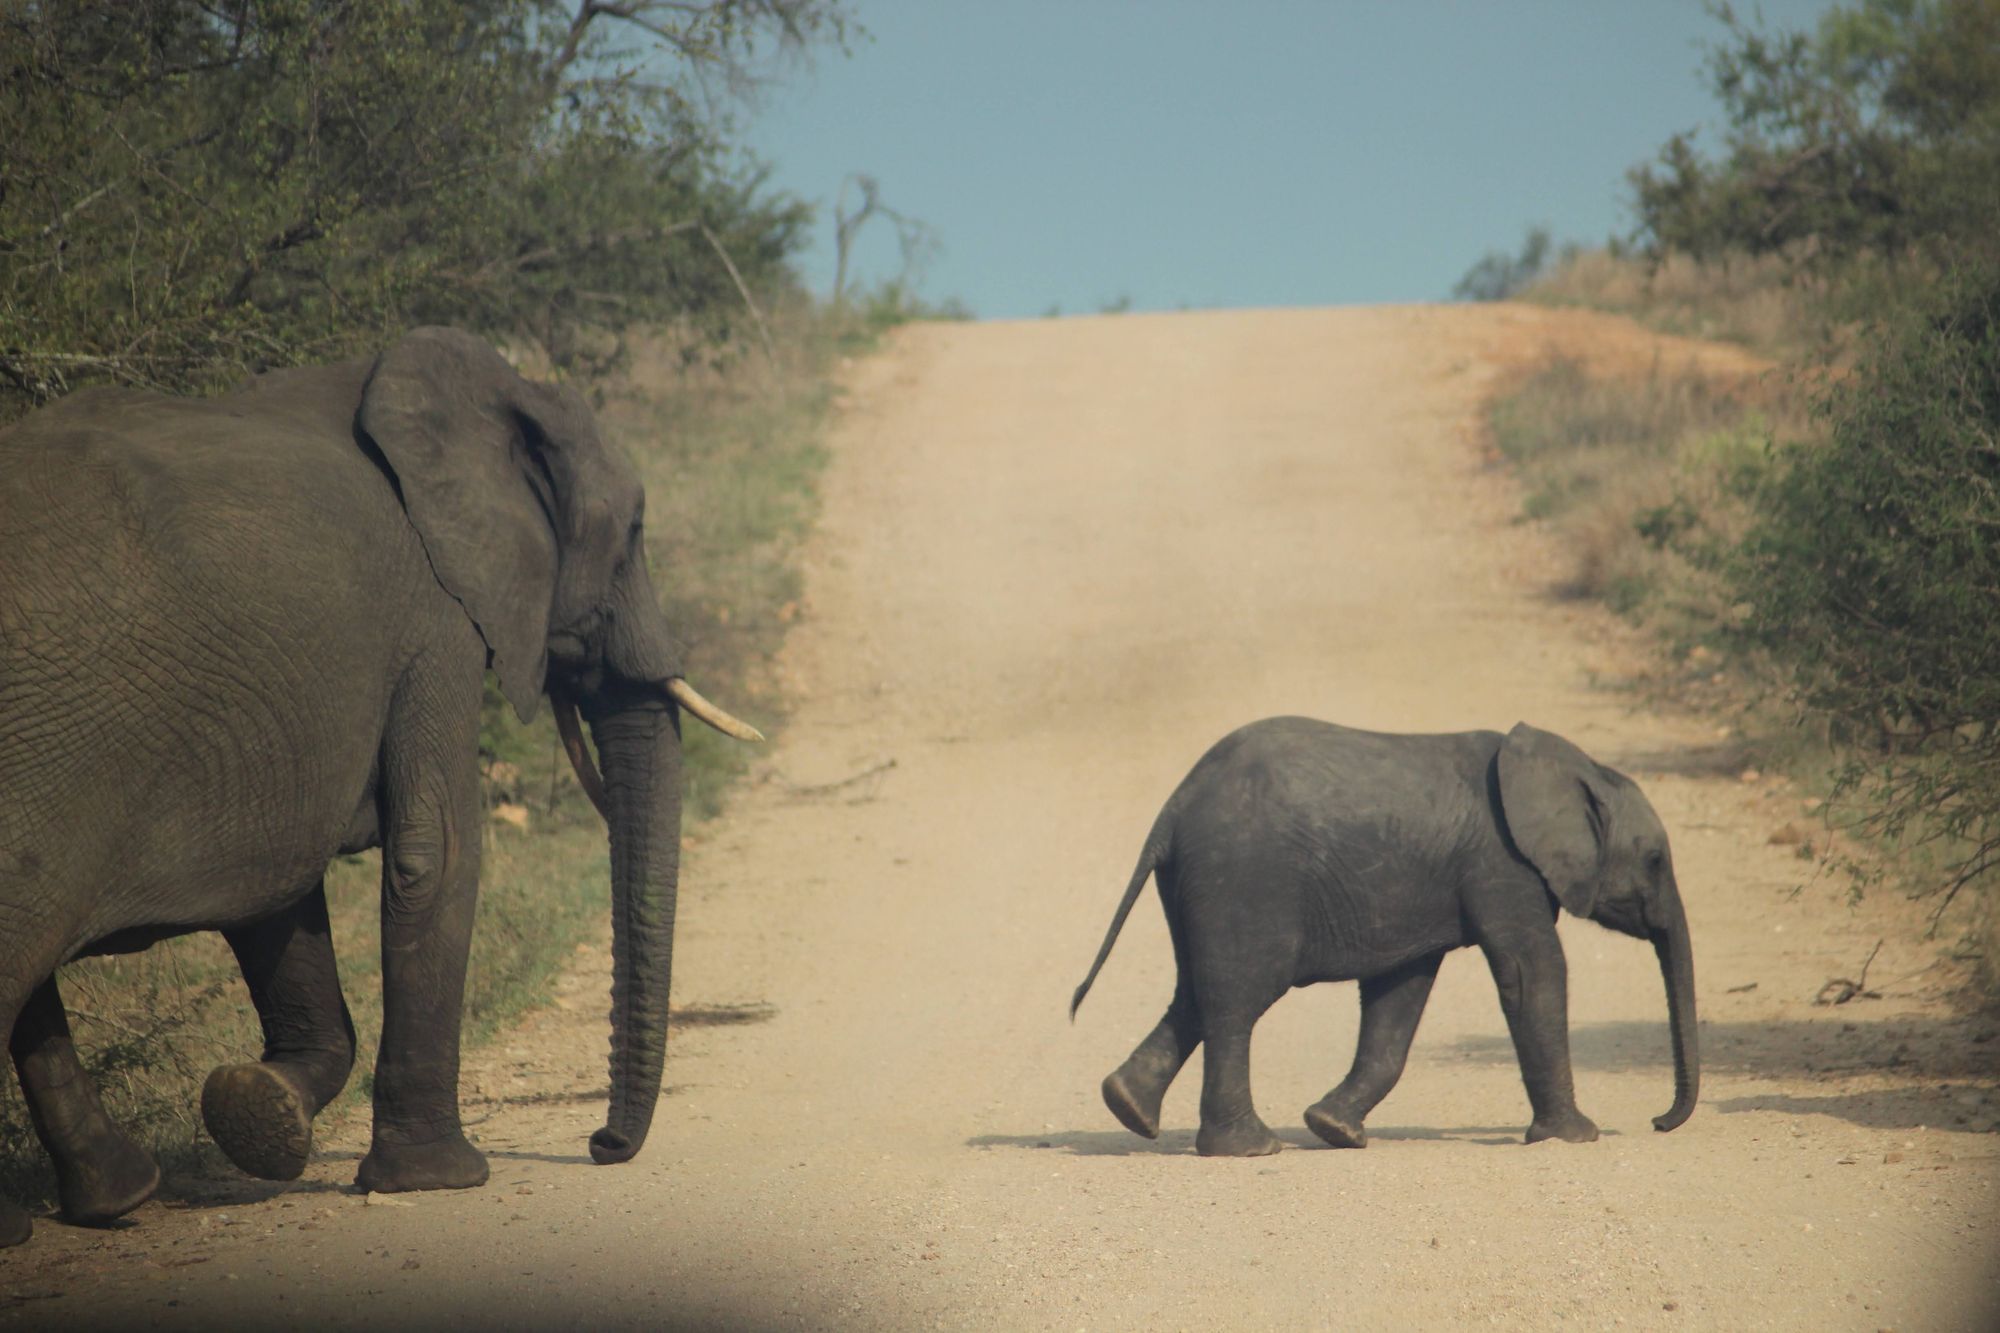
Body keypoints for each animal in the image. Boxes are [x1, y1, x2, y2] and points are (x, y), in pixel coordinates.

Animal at [0, 328, 761, 1246]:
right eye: (635, 530)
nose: (603, 1143)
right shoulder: (435, 616)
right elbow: (438, 849)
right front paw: (439, 1178)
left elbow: (281, 895)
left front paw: (260, 1109)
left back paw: (112, 1197)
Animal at [1070, 717, 1698, 1157]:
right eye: (1655, 860)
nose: (1657, 1122)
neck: (1583, 770)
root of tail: (1175, 806)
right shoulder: (1503, 865)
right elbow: (1531, 970)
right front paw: (1574, 1138)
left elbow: (1400, 994)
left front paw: (1334, 1130)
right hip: (1245, 880)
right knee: (1237, 998)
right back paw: (1250, 1149)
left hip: (1203, 884)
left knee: (1196, 991)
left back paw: (1129, 1109)